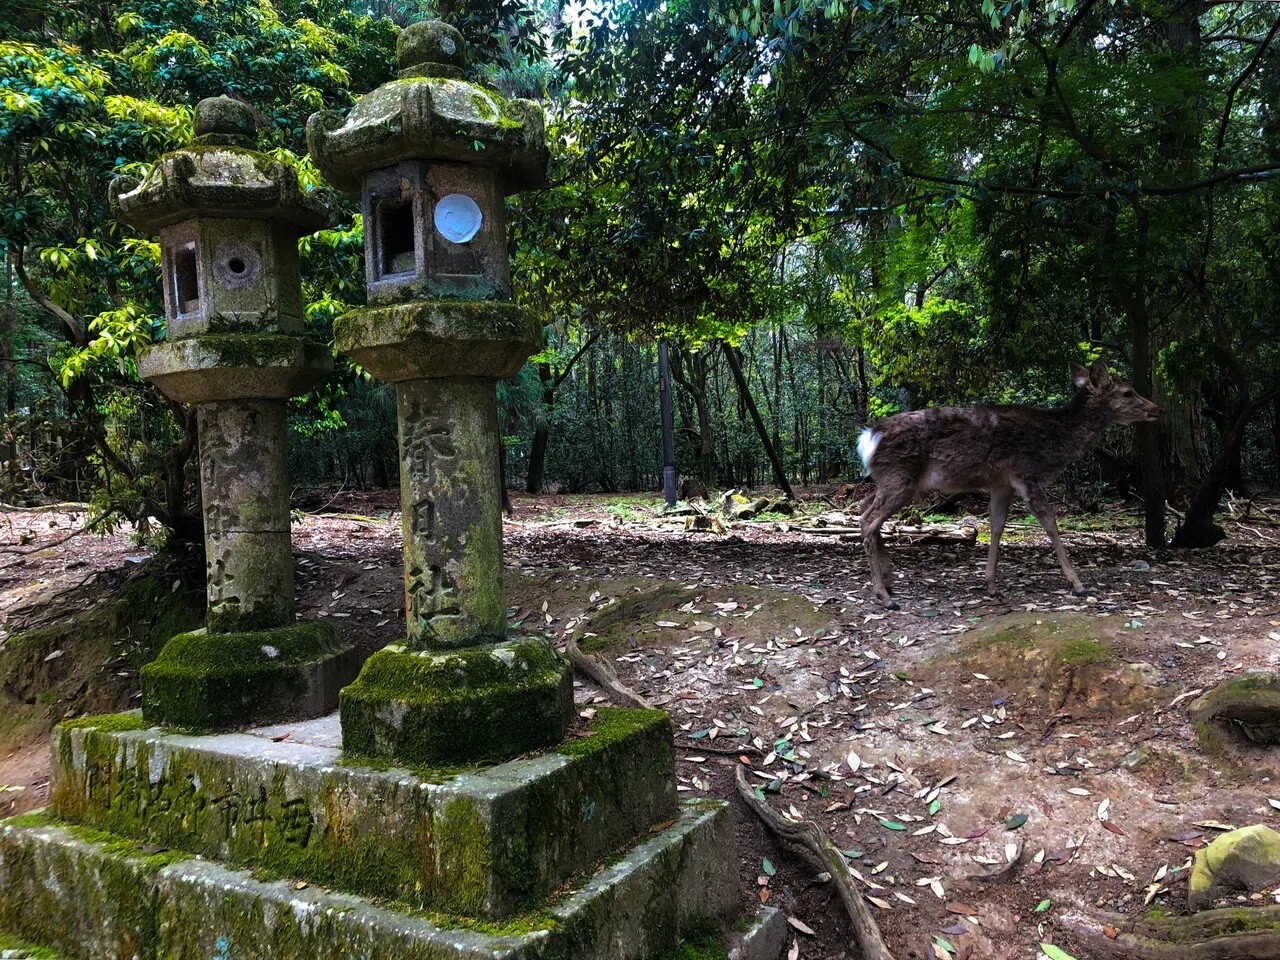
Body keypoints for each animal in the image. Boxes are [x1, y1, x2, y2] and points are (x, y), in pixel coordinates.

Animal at [856, 361, 1159, 605]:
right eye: (1127, 392)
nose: (1156, 409)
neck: (1057, 441)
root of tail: (867, 439)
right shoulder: (1026, 474)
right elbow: (1051, 524)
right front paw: (1079, 585)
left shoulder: (1002, 483)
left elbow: (997, 526)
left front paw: (991, 586)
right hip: (900, 475)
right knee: (869, 519)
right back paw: (883, 596)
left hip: (894, 479)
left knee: (863, 506)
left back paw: (889, 581)